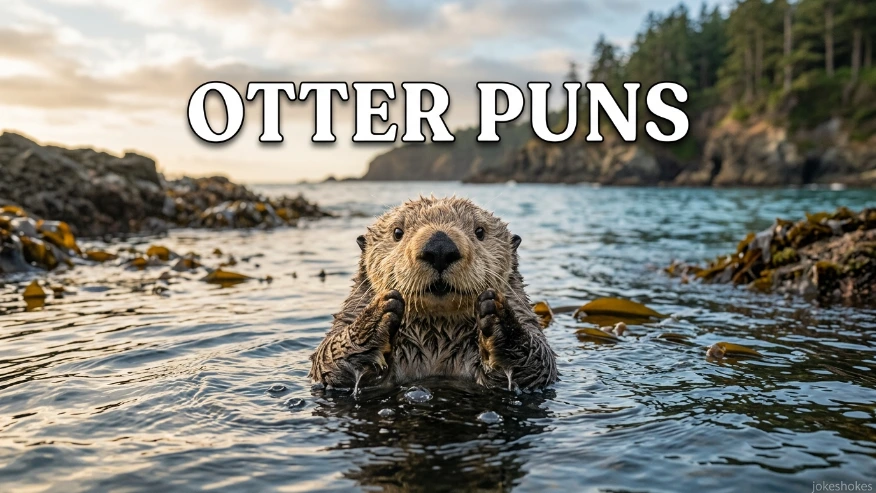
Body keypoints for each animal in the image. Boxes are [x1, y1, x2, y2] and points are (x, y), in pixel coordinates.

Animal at [309, 196, 557, 391]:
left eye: (480, 232)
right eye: (397, 232)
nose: (440, 247)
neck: (436, 337)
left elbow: (540, 363)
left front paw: (499, 317)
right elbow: (329, 359)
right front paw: (378, 315)